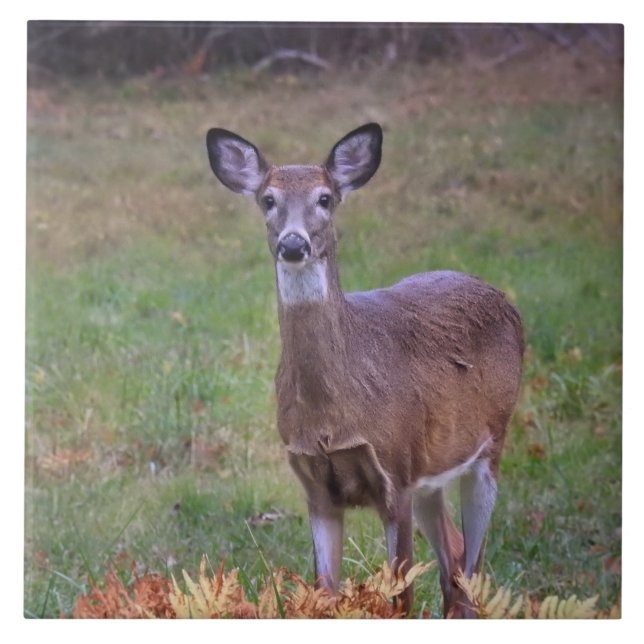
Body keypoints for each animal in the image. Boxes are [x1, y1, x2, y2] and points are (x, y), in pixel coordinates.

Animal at [205, 123, 523, 618]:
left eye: (325, 198)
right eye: (268, 199)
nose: (293, 244)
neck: (333, 415)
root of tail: (503, 299)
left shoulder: (395, 471)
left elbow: (401, 598)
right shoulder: (315, 485)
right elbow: (324, 594)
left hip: (490, 443)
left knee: (472, 571)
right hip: (431, 471)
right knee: (453, 558)